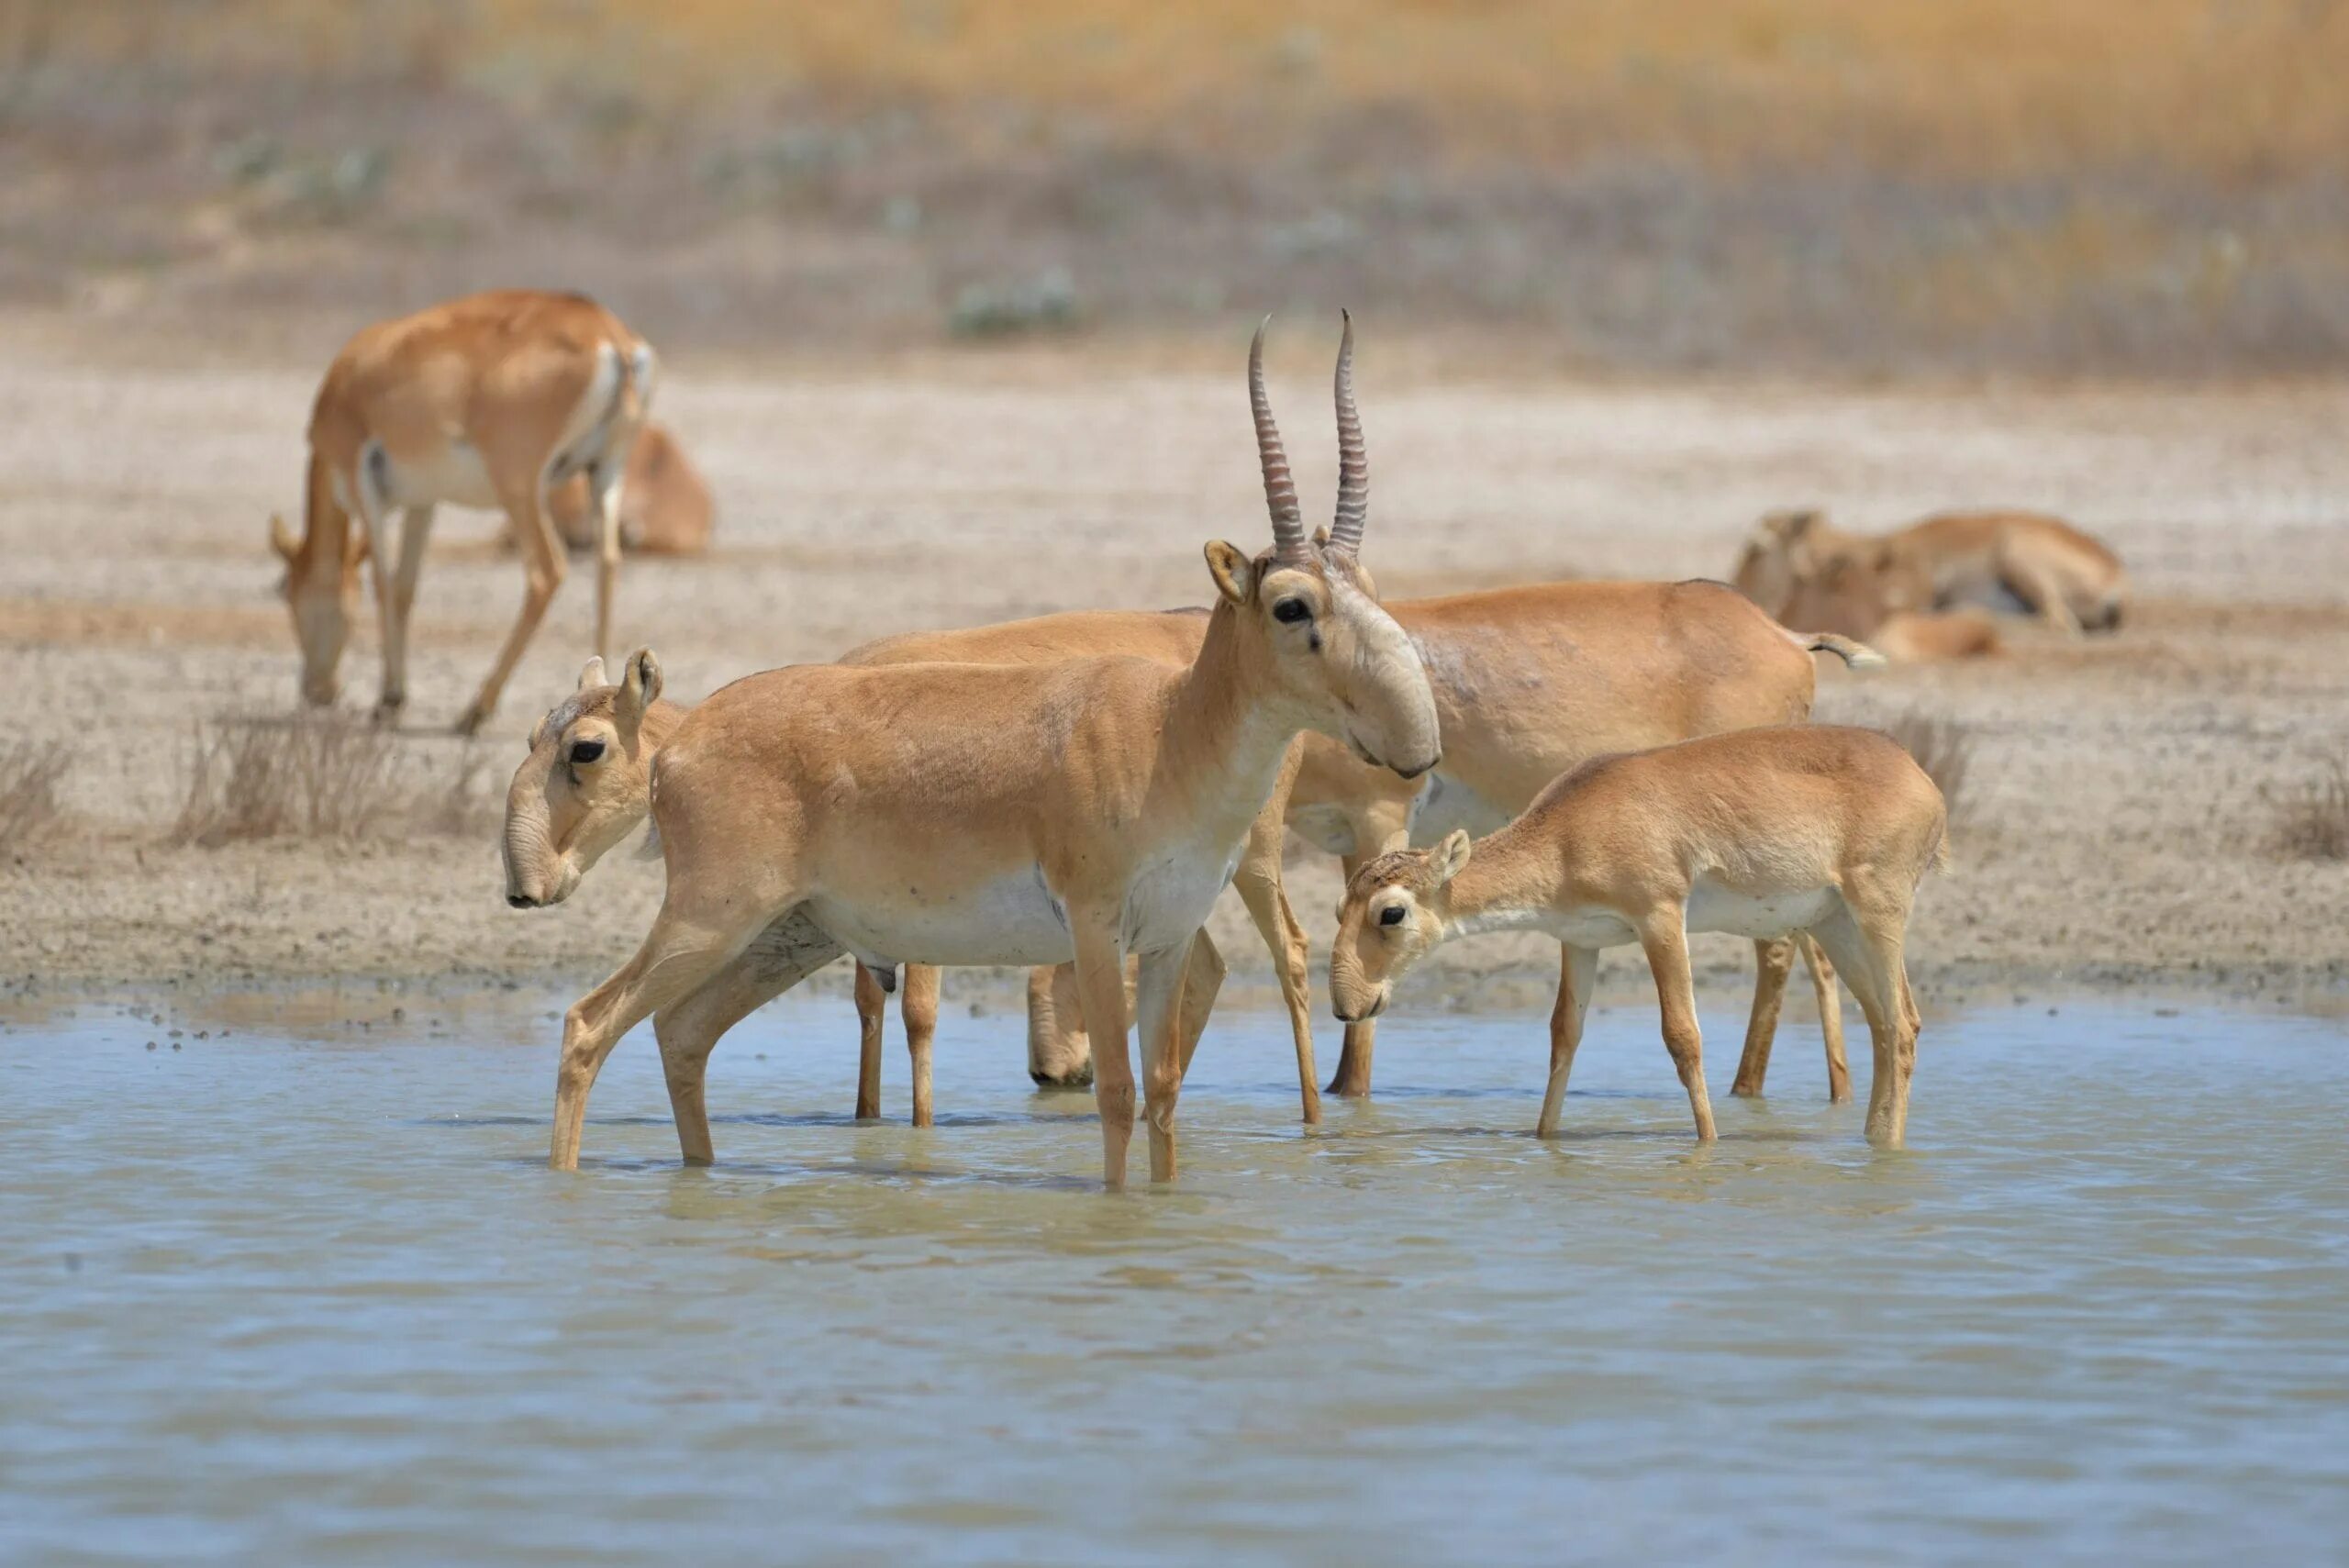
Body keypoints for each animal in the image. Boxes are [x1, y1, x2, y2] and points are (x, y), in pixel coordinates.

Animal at [275, 287, 662, 728]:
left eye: (285, 590)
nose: (316, 690)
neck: (354, 374)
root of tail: (608, 334)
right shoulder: (423, 502)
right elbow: (405, 586)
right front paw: (396, 695)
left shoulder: (364, 490)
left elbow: (382, 583)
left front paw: (388, 698)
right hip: (605, 473)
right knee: (607, 564)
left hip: (520, 490)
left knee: (546, 572)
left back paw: (475, 711)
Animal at [542, 312, 1437, 1183]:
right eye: (1292, 604)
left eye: (1367, 587)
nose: (1418, 741)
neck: (1167, 732)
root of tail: (679, 748)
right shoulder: (1095, 931)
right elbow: (1117, 1092)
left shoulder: (1167, 941)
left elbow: (1163, 1094)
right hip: (712, 919)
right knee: (589, 1022)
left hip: (786, 935)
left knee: (681, 1030)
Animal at [1334, 728, 1954, 1150]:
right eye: (1341, 907)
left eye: (1391, 913)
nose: (1346, 1007)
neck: (1566, 832)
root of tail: (1921, 777)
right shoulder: (1579, 942)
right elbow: (1564, 1034)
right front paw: (1544, 1139)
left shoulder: (1661, 919)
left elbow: (1683, 1036)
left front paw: (1708, 1145)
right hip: (1836, 926)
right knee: (1883, 1024)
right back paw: (1872, 1140)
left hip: (1878, 914)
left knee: (1903, 1024)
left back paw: (1889, 1145)